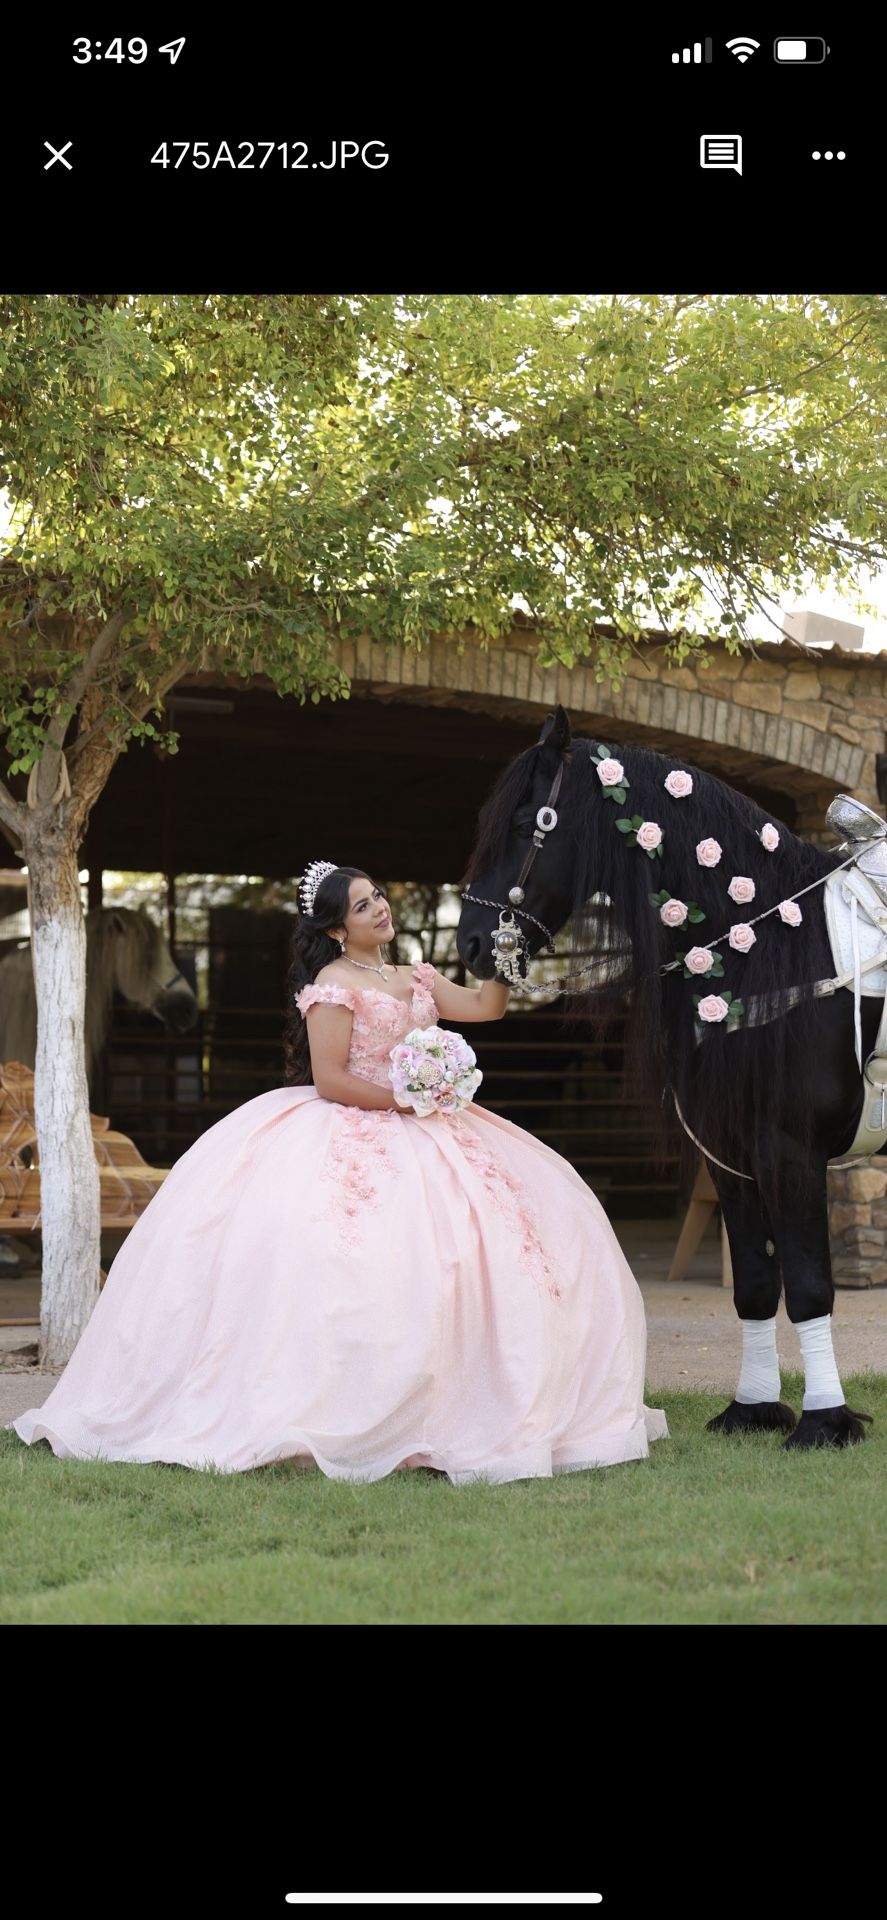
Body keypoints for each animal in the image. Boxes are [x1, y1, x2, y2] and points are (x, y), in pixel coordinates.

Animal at [460, 714, 875, 1443]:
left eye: (524, 823)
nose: (472, 944)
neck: (778, 949)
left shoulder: (789, 1151)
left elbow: (807, 1284)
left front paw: (825, 1423)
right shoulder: (732, 1156)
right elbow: (756, 1284)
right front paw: (752, 1409)